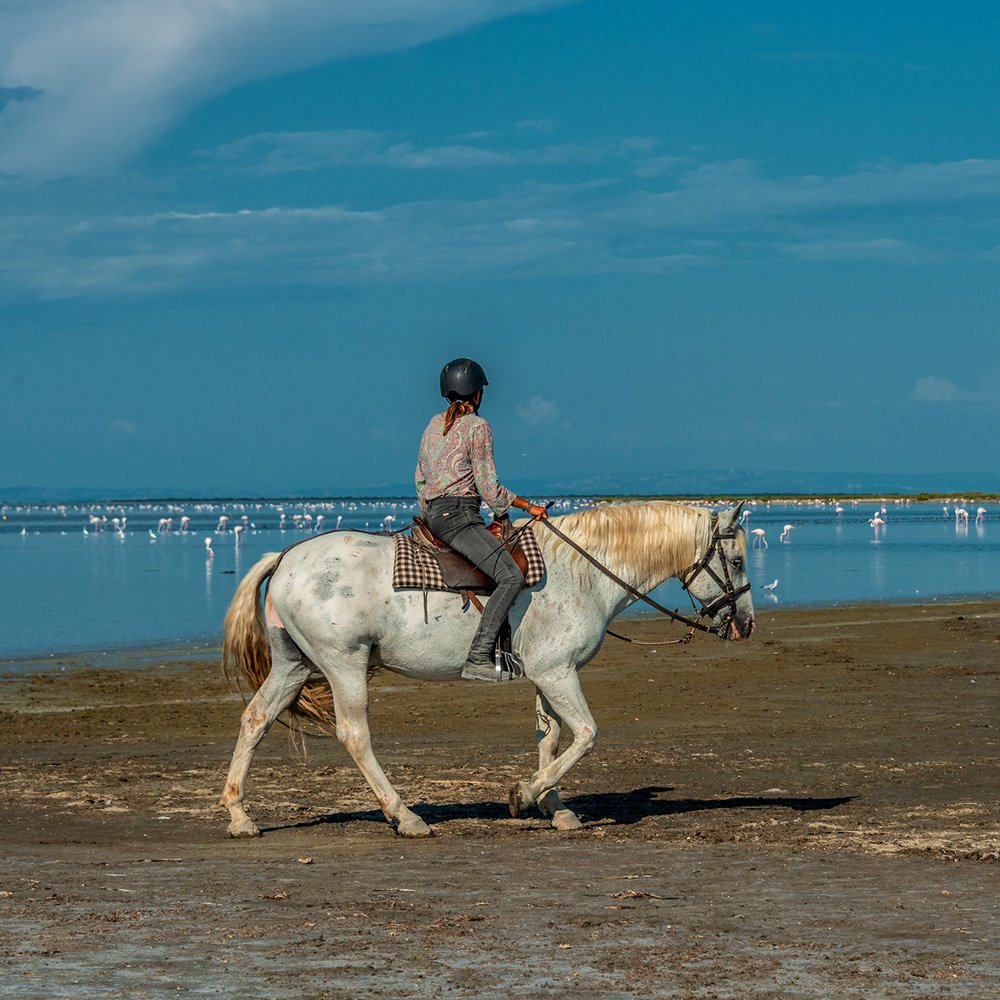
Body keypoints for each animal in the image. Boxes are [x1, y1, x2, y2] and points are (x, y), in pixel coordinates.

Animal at [217, 500, 752, 836]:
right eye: (740, 560)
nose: (745, 625)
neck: (583, 571)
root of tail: (286, 557)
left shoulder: (548, 674)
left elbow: (550, 739)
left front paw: (555, 806)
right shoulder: (558, 673)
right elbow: (585, 734)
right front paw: (525, 794)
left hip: (293, 665)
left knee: (255, 719)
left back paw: (240, 815)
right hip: (343, 663)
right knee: (354, 734)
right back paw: (405, 816)